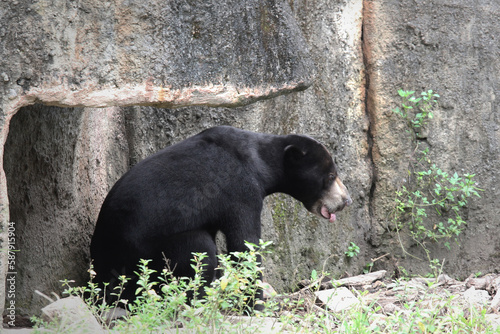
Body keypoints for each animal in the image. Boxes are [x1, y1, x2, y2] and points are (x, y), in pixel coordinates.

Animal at [92, 125, 354, 302]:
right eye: (330, 176)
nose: (346, 200)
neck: (262, 163)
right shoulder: (240, 191)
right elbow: (244, 243)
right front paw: (254, 302)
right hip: (146, 251)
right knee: (199, 249)